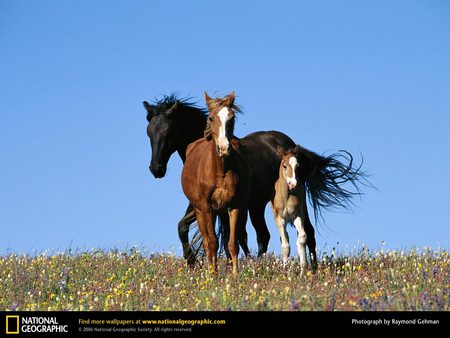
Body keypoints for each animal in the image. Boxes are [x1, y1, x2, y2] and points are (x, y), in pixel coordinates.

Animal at [180, 91, 250, 274]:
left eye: (232, 118)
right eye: (210, 118)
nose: (224, 148)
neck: (220, 171)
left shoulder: (234, 206)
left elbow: (232, 244)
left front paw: (235, 275)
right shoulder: (206, 207)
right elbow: (211, 243)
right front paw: (214, 275)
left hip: (220, 212)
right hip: (200, 211)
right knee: (206, 242)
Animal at [270, 146, 312, 274]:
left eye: (297, 165)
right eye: (284, 165)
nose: (293, 184)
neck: (287, 196)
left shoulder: (298, 215)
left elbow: (302, 238)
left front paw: (303, 271)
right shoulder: (280, 218)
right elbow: (285, 245)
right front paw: (285, 270)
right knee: (285, 238)